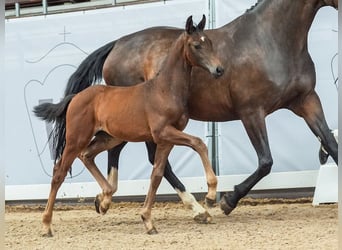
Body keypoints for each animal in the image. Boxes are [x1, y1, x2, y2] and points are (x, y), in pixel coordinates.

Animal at [33, 14, 223, 235]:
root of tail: (75, 97)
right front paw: (210, 195)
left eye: (209, 42)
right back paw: (46, 225)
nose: (219, 69)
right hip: (76, 139)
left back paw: (105, 196)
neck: (165, 89)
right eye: (196, 45)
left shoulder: (165, 139)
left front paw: (148, 220)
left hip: (109, 137)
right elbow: (198, 143)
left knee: (87, 155)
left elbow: (157, 175)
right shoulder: (163, 132)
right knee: (59, 172)